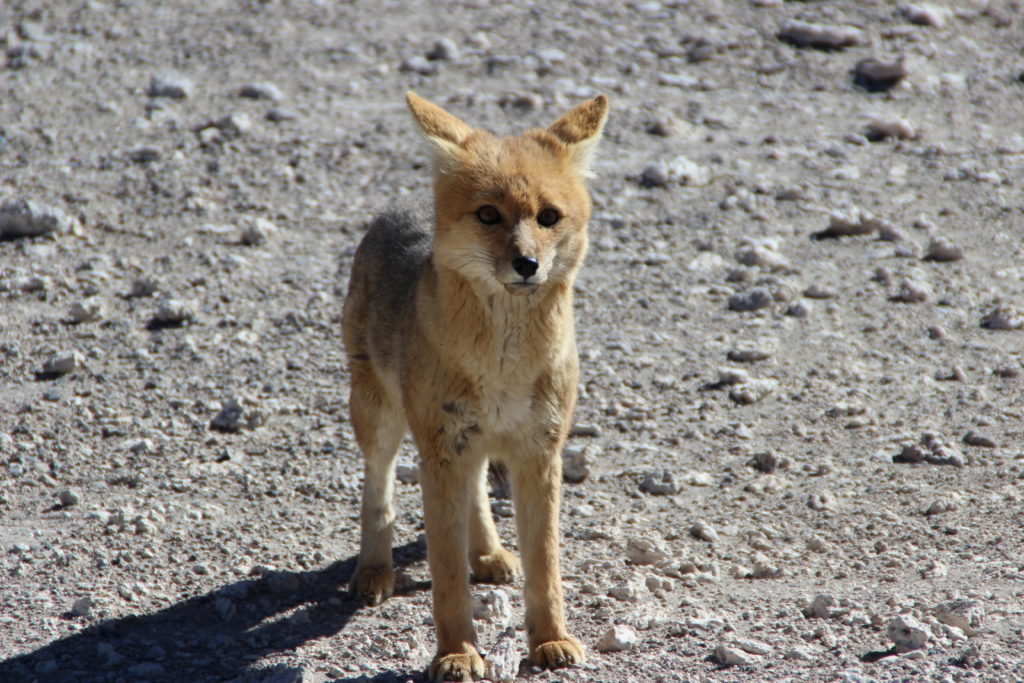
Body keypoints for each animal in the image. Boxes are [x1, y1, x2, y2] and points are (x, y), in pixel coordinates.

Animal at [342, 91, 608, 681]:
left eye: (548, 217)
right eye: (489, 215)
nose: (526, 263)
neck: (501, 367)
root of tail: (402, 206)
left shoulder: (539, 453)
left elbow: (545, 564)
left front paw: (551, 639)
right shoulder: (441, 452)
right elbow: (446, 576)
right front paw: (457, 653)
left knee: (478, 489)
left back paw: (486, 553)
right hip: (381, 419)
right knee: (379, 485)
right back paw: (374, 568)